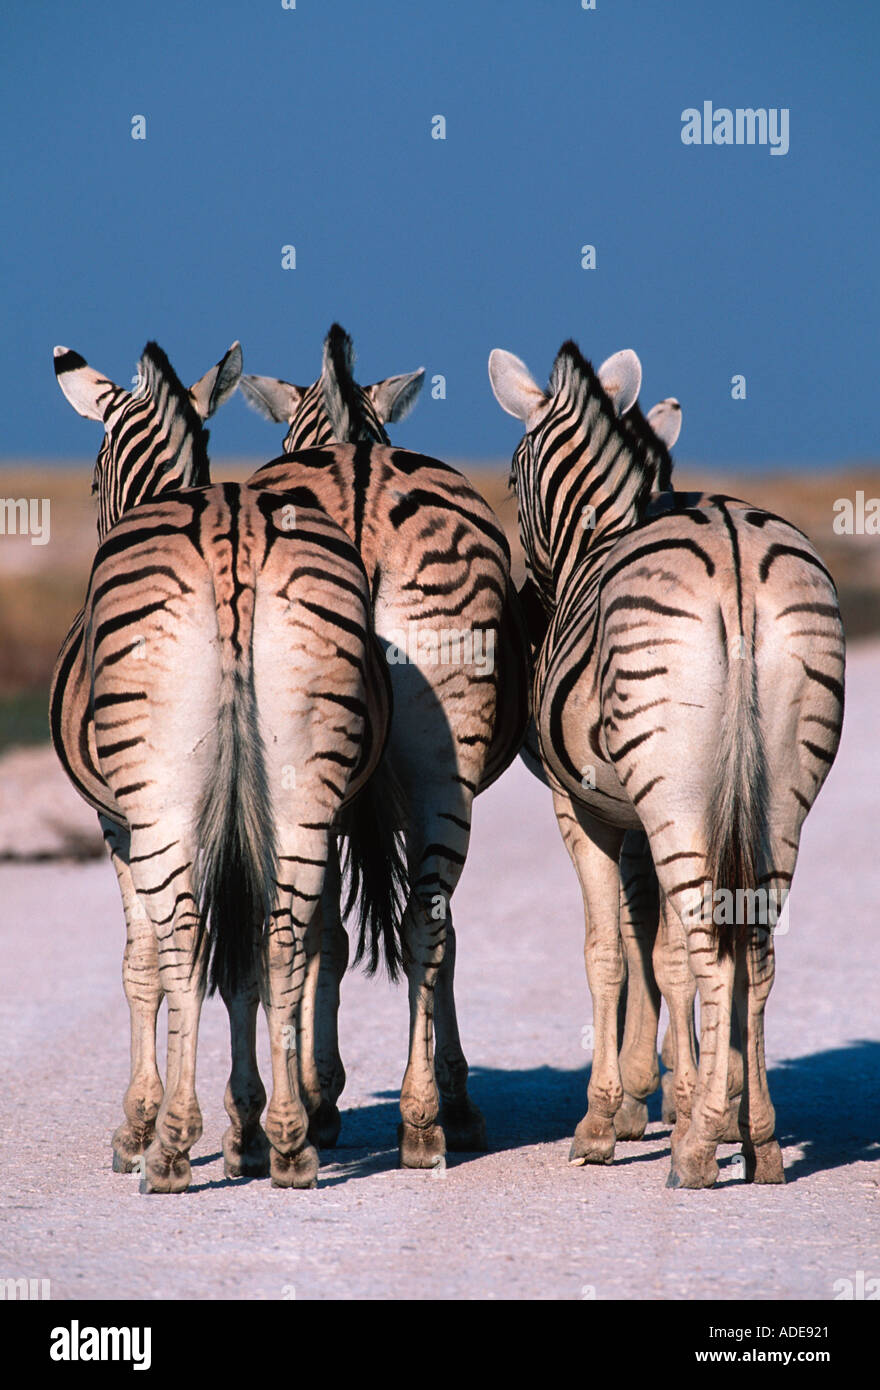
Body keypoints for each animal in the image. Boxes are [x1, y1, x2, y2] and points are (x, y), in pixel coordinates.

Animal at [51, 341, 400, 1189]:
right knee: (285, 936)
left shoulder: (114, 823)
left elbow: (143, 962)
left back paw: (173, 1148)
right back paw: (292, 1142)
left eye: (93, 479)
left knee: (183, 940)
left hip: (162, 801)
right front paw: (247, 1126)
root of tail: (230, 530)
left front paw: (139, 1125)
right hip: (304, 787)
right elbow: (246, 965)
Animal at [239, 322, 528, 1162]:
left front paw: (322, 1093)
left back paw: (409, 1116)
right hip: (442, 770)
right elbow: (390, 935)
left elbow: (330, 936)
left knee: (376, 924)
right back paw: (425, 1117)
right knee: (425, 921)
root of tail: (360, 492)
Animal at [492, 333, 839, 1184]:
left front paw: (605, 1120)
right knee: (756, 947)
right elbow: (659, 947)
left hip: (677, 793)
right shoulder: (641, 811)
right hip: (779, 793)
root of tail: (739, 552)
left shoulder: (584, 807)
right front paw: (682, 1092)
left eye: (512, 477)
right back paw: (760, 1138)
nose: (528, 609)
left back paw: (700, 1145)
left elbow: (614, 950)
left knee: (710, 944)